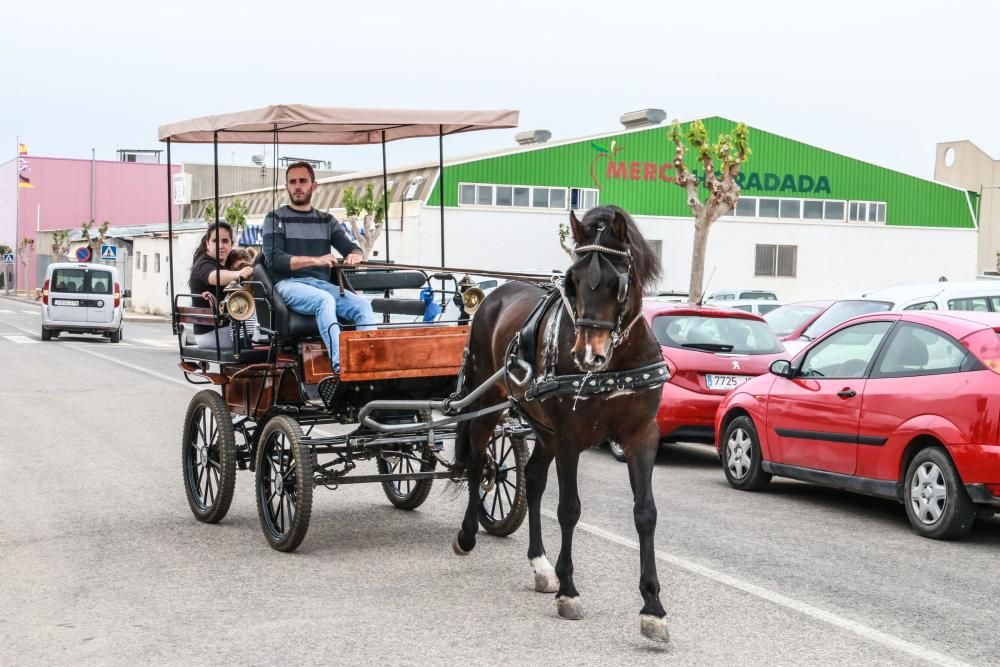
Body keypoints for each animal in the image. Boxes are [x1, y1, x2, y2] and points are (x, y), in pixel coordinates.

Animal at [454, 205, 672, 640]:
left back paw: (540, 565)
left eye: (618, 282)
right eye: (572, 282)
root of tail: (493, 294)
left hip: (543, 429)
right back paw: (468, 534)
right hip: (488, 401)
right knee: (477, 462)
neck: (614, 367)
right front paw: (569, 591)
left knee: (534, 479)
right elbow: (569, 508)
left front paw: (652, 607)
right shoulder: (572, 437)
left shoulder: (641, 436)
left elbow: (645, 513)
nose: (588, 355)